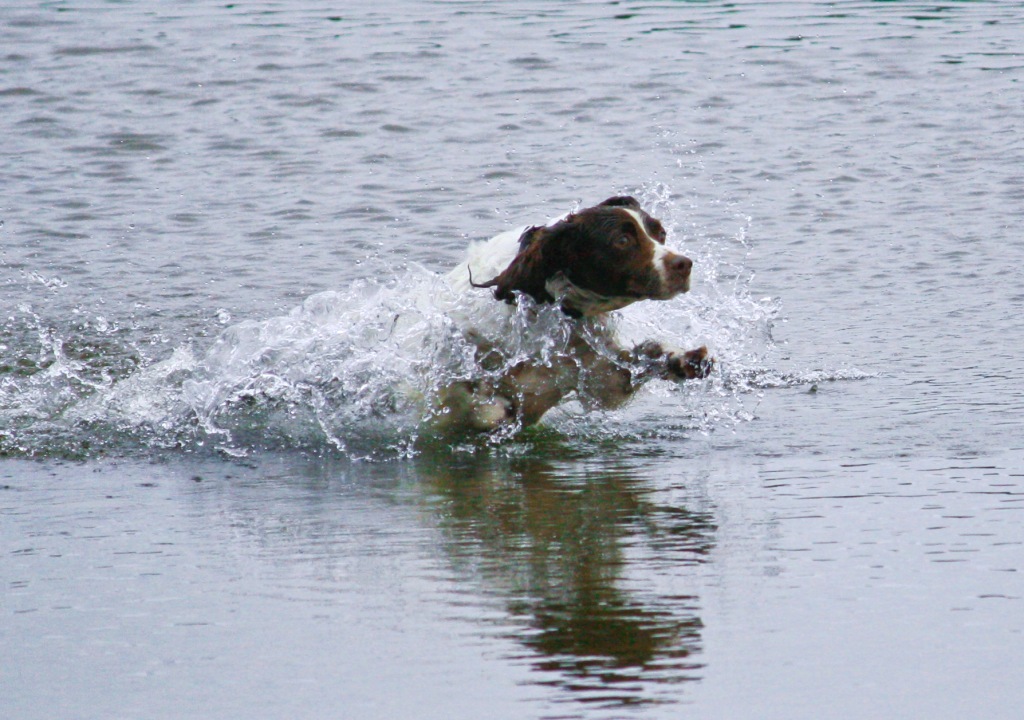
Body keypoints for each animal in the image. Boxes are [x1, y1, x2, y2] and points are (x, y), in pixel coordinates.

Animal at [432, 194, 712, 434]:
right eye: (622, 240)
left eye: (661, 233)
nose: (684, 264)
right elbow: (468, 397)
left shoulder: (601, 375)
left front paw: (684, 358)